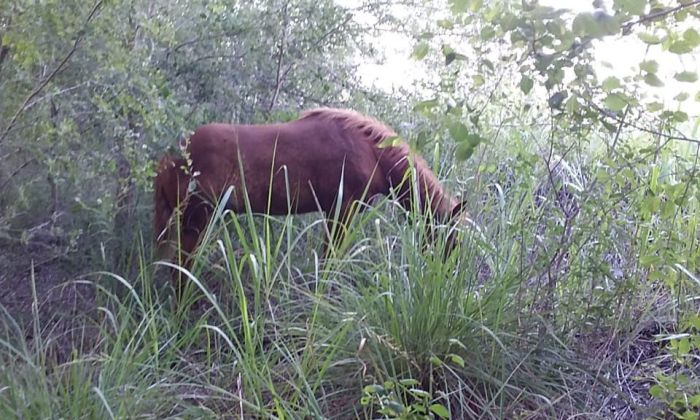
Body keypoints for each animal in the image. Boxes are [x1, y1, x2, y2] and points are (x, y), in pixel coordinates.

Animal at [156, 109, 468, 270]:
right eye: (451, 236)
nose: (447, 272)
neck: (372, 152)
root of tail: (174, 155)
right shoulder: (342, 210)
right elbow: (330, 258)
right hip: (196, 220)